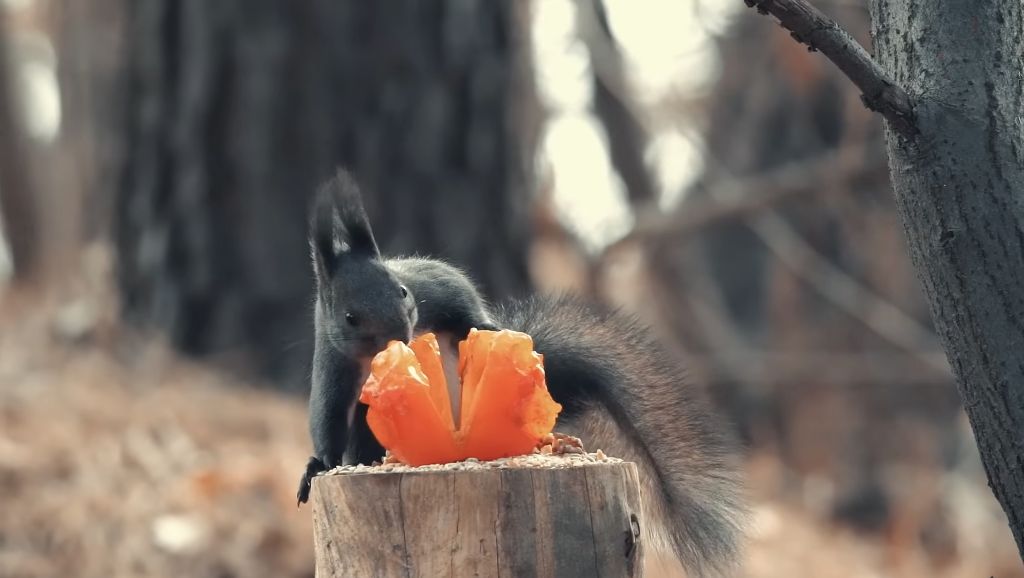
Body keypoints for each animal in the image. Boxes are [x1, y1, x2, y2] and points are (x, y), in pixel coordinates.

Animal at [294, 169, 745, 573]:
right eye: (350, 317)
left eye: (403, 291)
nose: (400, 335)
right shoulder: (334, 368)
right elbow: (328, 422)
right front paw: (317, 466)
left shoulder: (440, 288)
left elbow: (468, 309)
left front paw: (493, 332)